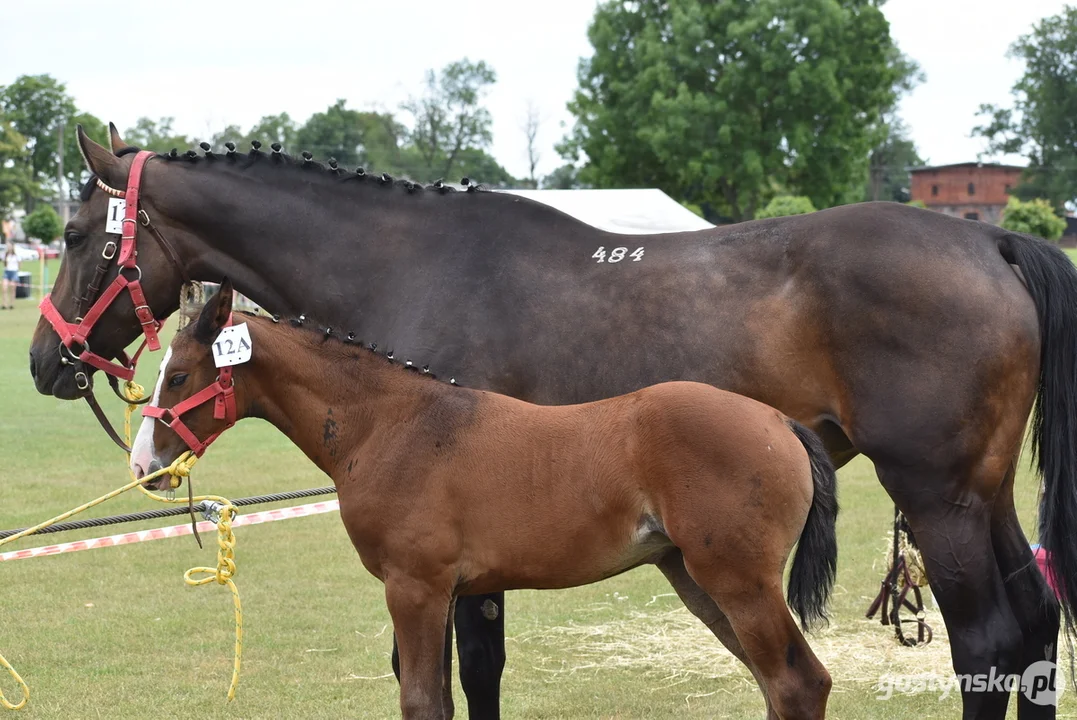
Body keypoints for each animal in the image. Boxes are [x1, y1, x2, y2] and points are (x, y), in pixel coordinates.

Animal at [132, 284, 840, 718]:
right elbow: (443, 700)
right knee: (775, 686)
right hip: (696, 579)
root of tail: (779, 424)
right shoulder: (446, 594)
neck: (394, 425)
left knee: (799, 685)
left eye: (179, 375)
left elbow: (421, 702)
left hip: (738, 581)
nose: (144, 467)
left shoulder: (414, 589)